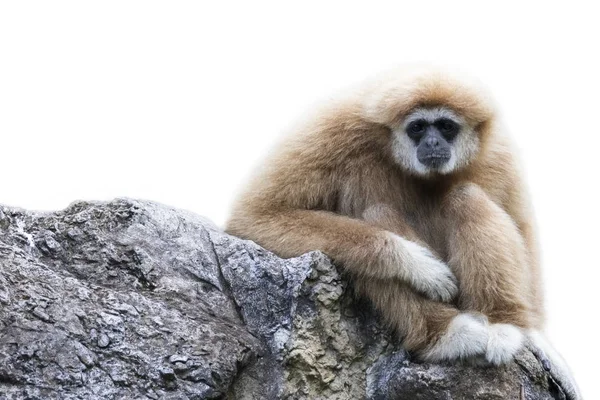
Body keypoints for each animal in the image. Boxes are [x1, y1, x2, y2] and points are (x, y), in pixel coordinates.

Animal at [225, 66, 580, 396]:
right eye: (418, 127)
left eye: (446, 126)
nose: (433, 141)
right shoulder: (333, 127)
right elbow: (255, 216)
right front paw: (419, 266)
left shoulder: (498, 150)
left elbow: (521, 223)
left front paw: (537, 337)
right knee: (376, 212)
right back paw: (447, 335)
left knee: (467, 197)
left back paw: (502, 325)